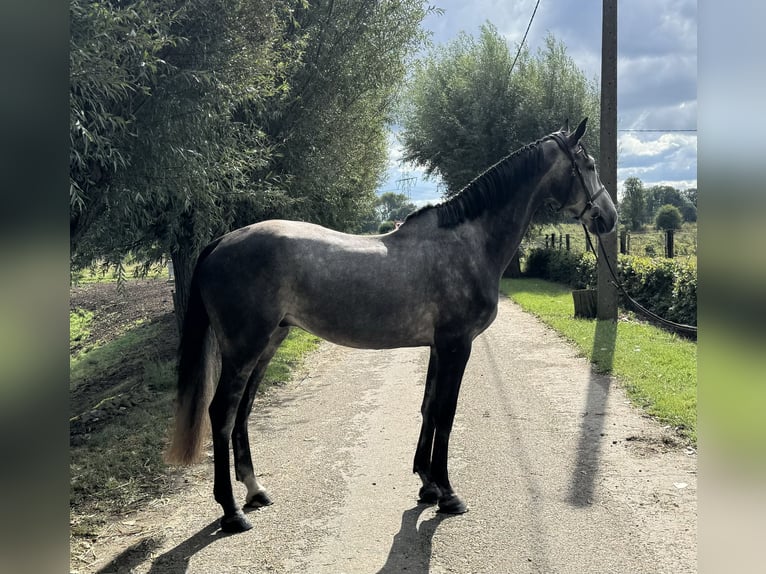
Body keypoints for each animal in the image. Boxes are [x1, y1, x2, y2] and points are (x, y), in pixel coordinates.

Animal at [166, 118, 616, 536]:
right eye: (589, 165)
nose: (609, 218)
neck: (468, 242)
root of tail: (220, 242)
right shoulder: (457, 345)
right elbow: (447, 412)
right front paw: (449, 494)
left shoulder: (438, 346)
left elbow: (429, 407)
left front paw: (427, 484)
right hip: (244, 347)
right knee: (221, 413)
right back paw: (231, 512)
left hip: (269, 341)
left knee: (242, 411)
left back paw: (255, 491)